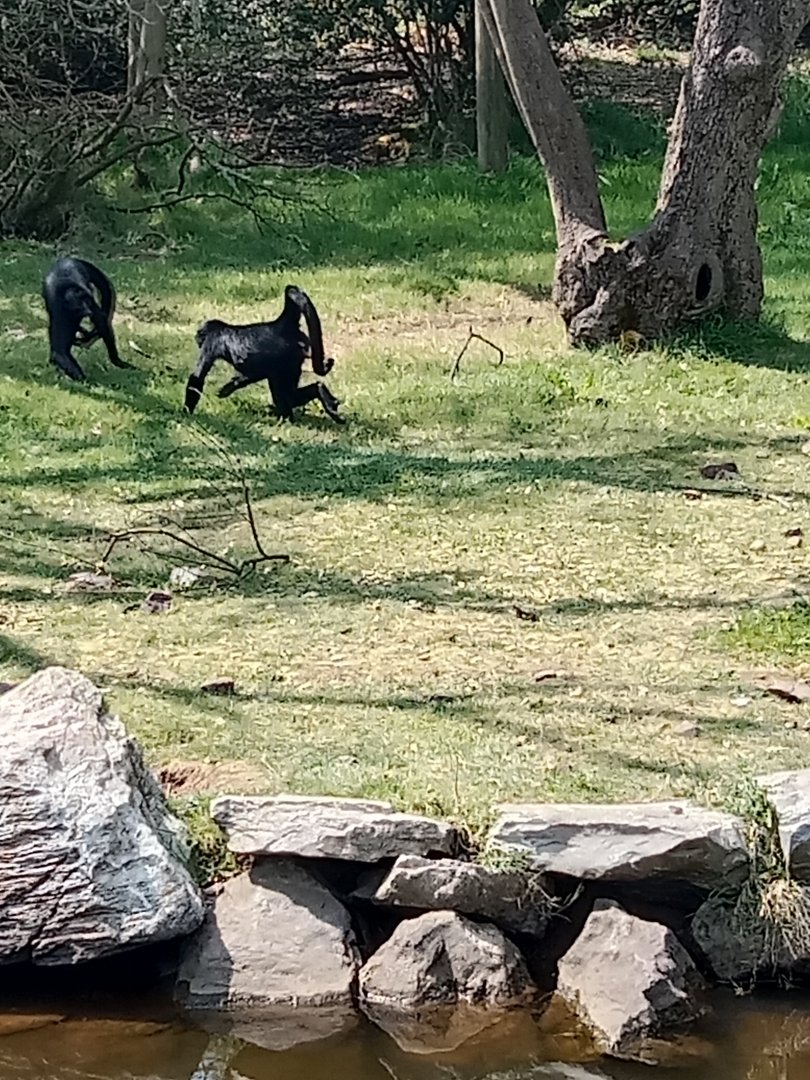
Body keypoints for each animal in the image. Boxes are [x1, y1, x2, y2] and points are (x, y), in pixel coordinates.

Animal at [184, 284, 344, 424]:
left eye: (200, 337)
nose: (197, 340)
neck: (221, 328)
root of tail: (280, 326)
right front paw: (234, 384)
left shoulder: (212, 341)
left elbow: (197, 377)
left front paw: (186, 413)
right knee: (290, 394)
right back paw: (319, 390)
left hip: (284, 358)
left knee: (282, 391)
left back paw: (286, 417)